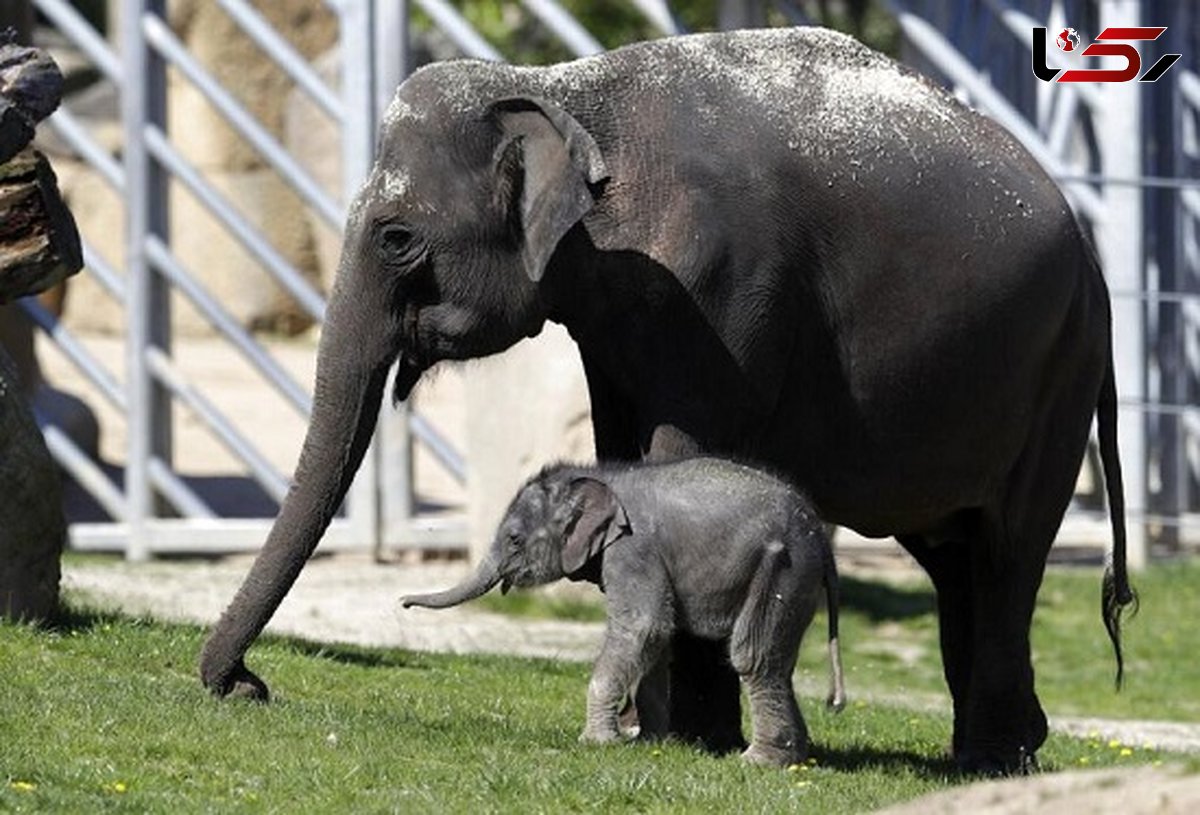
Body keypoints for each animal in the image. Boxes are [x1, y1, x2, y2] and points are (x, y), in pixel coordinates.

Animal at [400, 463, 844, 768]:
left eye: (513, 539)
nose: (403, 604)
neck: (601, 478)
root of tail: (822, 539)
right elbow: (657, 641)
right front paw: (650, 744)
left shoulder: (633, 549)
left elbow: (643, 627)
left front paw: (596, 743)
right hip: (797, 578)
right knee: (778, 660)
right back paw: (794, 757)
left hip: (783, 567)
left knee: (753, 655)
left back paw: (759, 762)